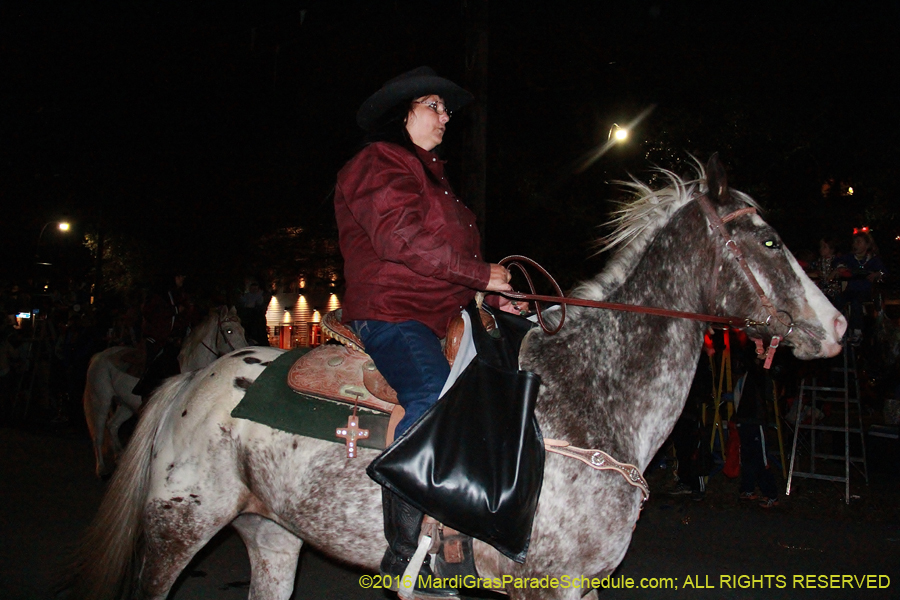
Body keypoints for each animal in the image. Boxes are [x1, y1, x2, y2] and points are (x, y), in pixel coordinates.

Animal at [82, 308, 246, 476]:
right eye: (229, 330)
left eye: (243, 330)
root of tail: (99, 355)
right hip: (100, 401)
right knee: (98, 432)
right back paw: (101, 468)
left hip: (125, 406)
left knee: (112, 425)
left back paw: (118, 456)